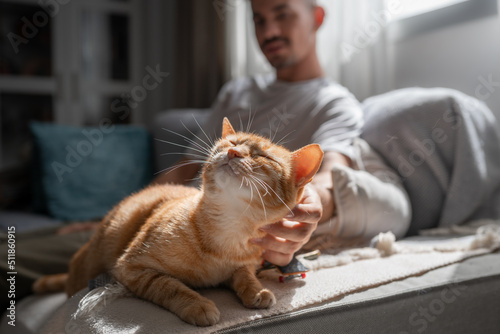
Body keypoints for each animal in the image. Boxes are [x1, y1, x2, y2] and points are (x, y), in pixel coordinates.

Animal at [35, 118, 324, 326]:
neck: (228, 231)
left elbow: (245, 276)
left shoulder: (244, 265)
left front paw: (256, 291)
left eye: (263, 157)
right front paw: (198, 304)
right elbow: (171, 286)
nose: (232, 152)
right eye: (230, 142)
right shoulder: (133, 268)